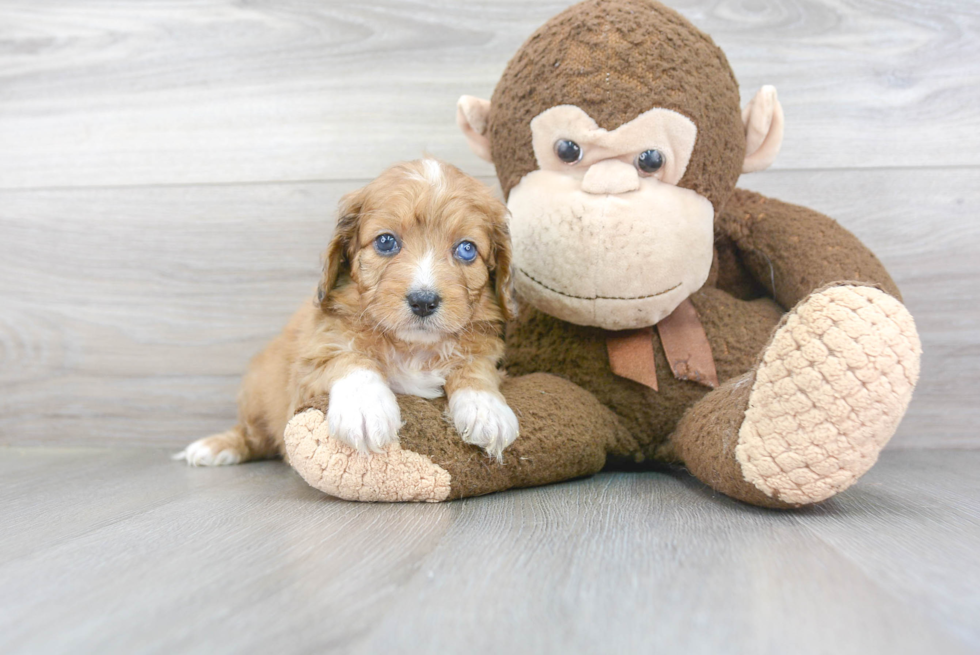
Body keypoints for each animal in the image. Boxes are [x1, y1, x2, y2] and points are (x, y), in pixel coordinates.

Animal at [180, 159, 524, 466]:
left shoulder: (486, 350)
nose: (424, 301)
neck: (411, 347)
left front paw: (486, 408)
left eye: (466, 249)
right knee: (252, 435)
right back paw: (216, 447)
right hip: (256, 391)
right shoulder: (310, 364)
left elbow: (475, 367)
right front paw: (365, 407)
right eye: (385, 241)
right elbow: (347, 358)